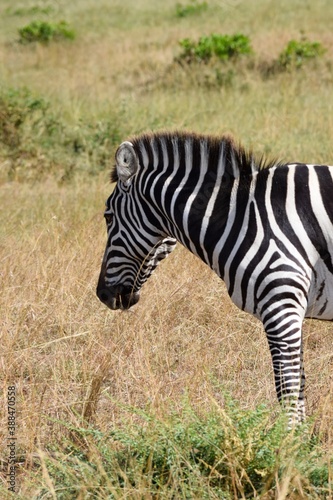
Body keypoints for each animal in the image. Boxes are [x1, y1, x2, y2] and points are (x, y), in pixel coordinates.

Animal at [96, 131, 332, 424]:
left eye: (107, 217)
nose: (102, 294)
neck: (242, 216)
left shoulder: (281, 307)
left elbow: (287, 398)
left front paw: (288, 438)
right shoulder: (291, 312)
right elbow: (297, 395)